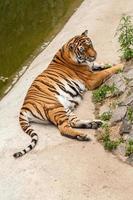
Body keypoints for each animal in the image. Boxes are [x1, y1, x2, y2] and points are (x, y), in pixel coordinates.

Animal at [13, 29, 123, 158]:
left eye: (90, 44)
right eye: (83, 50)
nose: (93, 55)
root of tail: (23, 107)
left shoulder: (92, 65)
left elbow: (101, 64)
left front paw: (109, 63)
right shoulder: (91, 79)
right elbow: (107, 71)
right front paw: (120, 65)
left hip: (65, 108)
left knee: (73, 122)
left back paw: (94, 124)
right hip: (55, 107)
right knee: (63, 128)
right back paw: (83, 135)